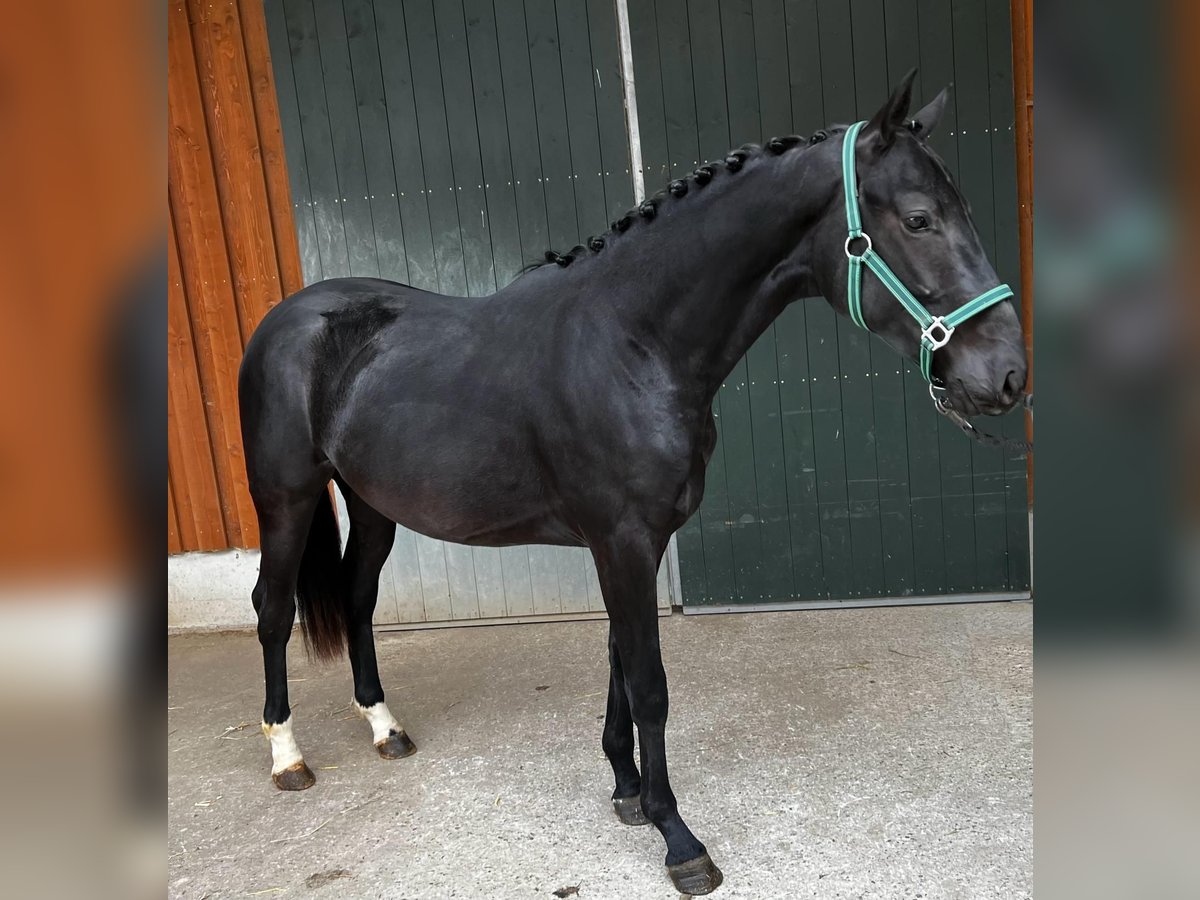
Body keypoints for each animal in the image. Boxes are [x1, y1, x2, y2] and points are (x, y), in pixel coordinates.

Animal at [241, 74, 1022, 897]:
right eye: (918, 218)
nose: (1007, 374)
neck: (631, 340)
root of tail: (287, 318)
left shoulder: (631, 543)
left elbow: (619, 660)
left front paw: (626, 789)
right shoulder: (622, 541)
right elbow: (649, 681)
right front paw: (676, 834)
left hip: (372, 505)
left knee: (358, 599)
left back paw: (385, 728)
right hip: (286, 500)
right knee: (272, 608)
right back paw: (287, 756)